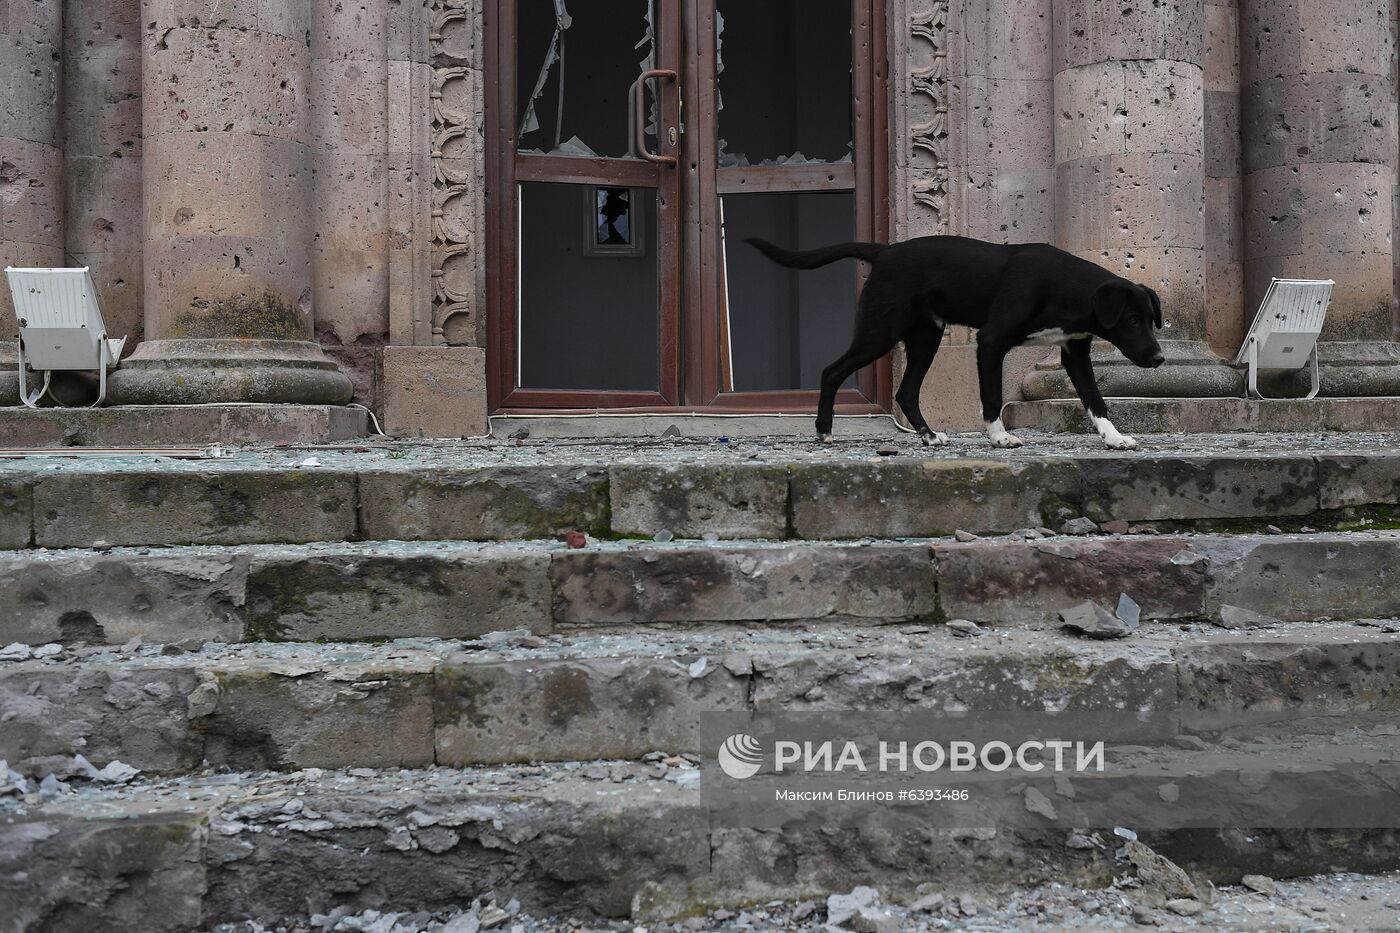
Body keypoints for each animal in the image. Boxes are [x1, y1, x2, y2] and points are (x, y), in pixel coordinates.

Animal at [750, 233, 1164, 448]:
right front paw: (999, 438)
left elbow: (1096, 401)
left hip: (925, 338)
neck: (1062, 287)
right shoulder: (991, 341)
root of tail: (884, 251)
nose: (1160, 359)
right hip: (879, 332)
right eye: (1131, 320)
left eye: (1151, 320)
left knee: (906, 392)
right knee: (832, 371)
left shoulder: (1074, 352)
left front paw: (1115, 438)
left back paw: (929, 436)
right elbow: (992, 397)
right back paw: (823, 430)